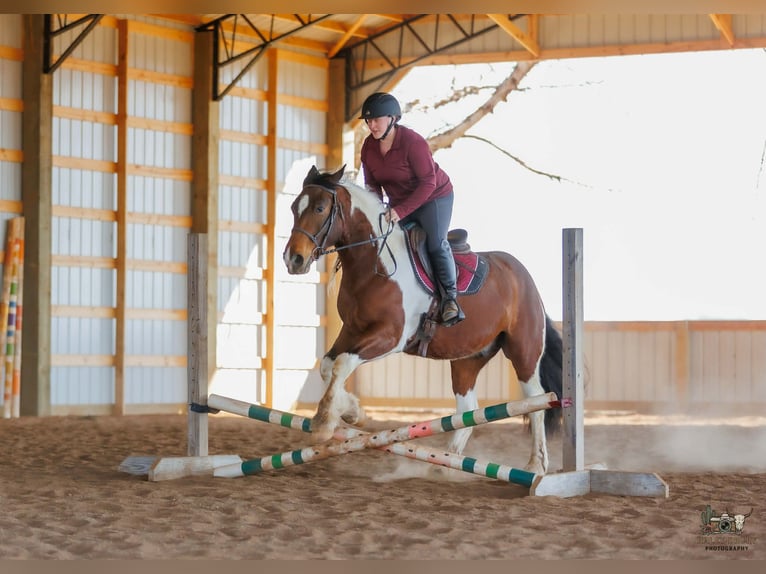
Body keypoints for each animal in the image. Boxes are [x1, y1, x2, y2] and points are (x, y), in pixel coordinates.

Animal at [282, 165, 563, 475]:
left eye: (320, 208)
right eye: (294, 208)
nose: (293, 259)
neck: (374, 265)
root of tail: (525, 279)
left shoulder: (390, 336)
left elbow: (342, 363)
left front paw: (324, 422)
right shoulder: (353, 330)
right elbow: (328, 365)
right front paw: (353, 412)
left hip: (523, 351)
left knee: (535, 399)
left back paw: (535, 465)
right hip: (468, 357)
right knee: (467, 410)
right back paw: (445, 464)